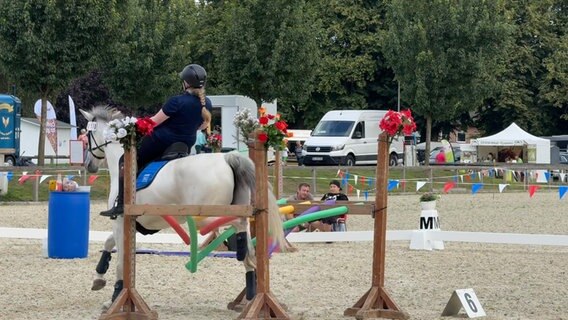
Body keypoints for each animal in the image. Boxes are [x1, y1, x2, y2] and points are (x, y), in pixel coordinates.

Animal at [80, 106, 284, 308]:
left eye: (87, 135)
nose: (88, 165)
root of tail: (227, 158)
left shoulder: (120, 221)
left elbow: (119, 259)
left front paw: (113, 296)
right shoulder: (135, 224)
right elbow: (109, 243)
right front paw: (99, 278)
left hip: (204, 218)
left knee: (239, 223)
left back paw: (242, 256)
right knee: (246, 234)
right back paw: (250, 288)